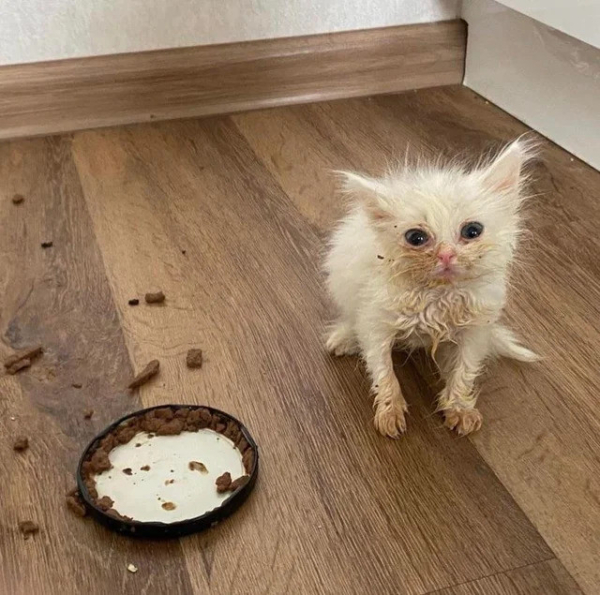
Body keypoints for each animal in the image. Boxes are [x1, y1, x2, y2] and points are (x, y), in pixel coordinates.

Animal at [326, 140, 536, 438]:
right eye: (416, 237)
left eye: (472, 231)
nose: (446, 255)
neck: (438, 295)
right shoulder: (375, 324)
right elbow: (384, 372)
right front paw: (390, 413)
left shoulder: (476, 331)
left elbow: (464, 371)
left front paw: (459, 408)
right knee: (351, 321)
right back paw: (344, 339)